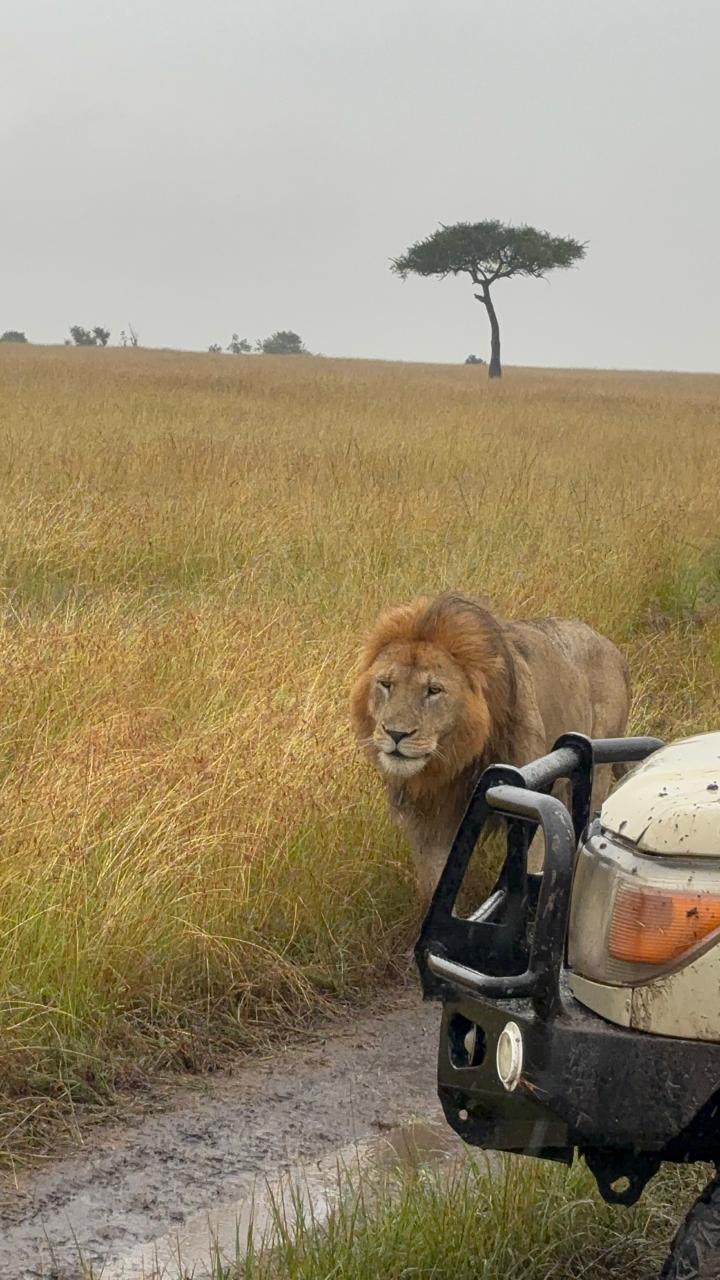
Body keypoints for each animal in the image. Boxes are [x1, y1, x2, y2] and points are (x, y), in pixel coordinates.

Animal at [350, 593, 631, 903]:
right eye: (386, 684)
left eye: (434, 690)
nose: (396, 733)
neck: (457, 761)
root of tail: (612, 648)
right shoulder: (429, 824)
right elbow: (435, 888)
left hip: (600, 766)